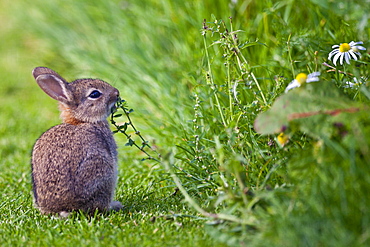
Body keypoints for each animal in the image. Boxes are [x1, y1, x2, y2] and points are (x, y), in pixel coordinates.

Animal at [30, 66, 123, 215]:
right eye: (95, 94)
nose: (116, 93)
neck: (81, 120)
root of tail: (65, 208)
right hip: (101, 171)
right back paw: (114, 205)